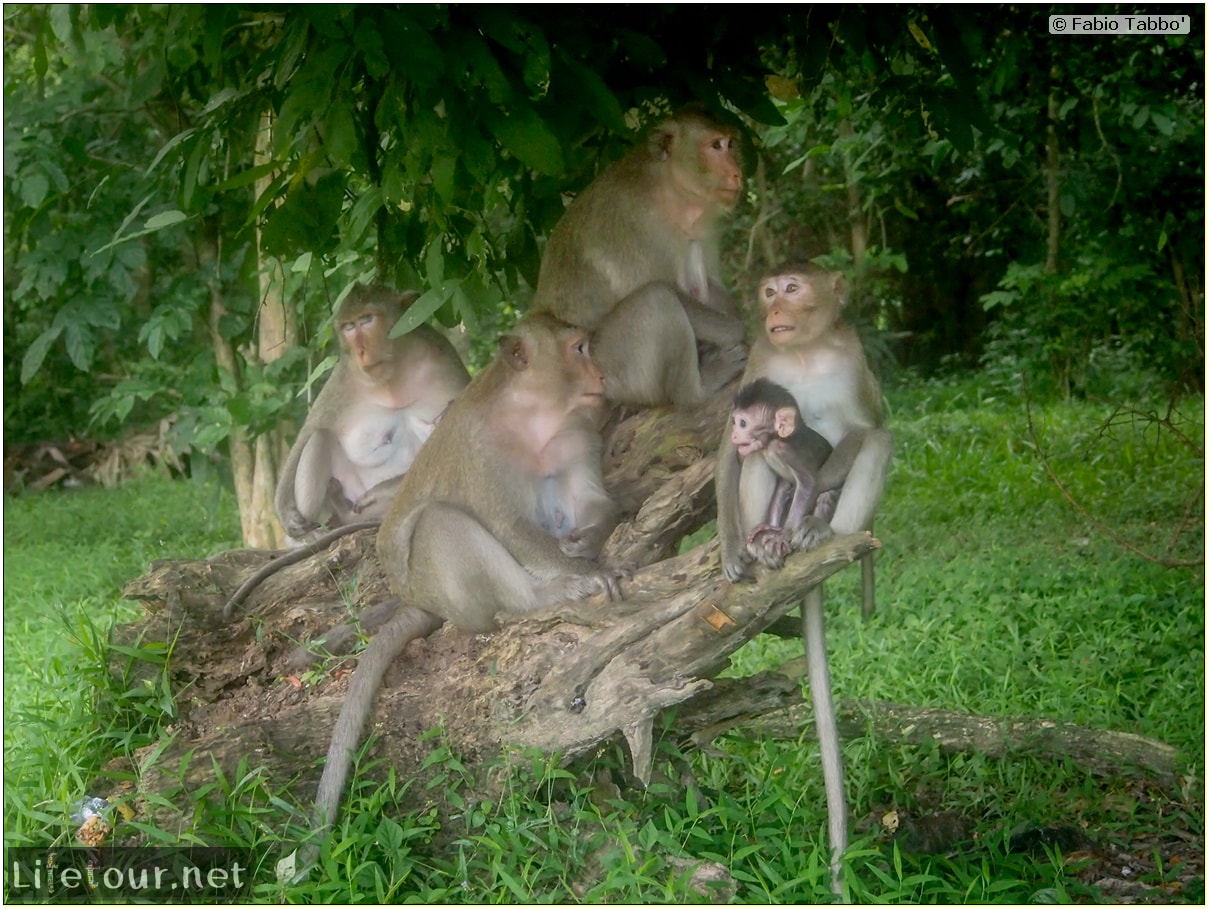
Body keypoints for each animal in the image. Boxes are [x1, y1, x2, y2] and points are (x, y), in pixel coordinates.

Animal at [276, 284, 469, 539]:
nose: (360, 351)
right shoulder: (345, 377)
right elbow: (309, 431)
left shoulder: (443, 357)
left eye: (366, 320)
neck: (394, 373)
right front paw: (286, 514)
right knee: (320, 437)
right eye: (349, 327)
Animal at [304, 316, 623, 855]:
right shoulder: (481, 448)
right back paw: (535, 599)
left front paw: (593, 537)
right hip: (443, 589)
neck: (535, 420)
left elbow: (591, 500)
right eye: (579, 349)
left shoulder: (578, 431)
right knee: (441, 524)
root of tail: (415, 598)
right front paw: (585, 573)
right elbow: (509, 526)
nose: (601, 372)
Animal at [536, 104, 749, 406]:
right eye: (715, 146)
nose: (737, 173)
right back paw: (698, 390)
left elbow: (709, 277)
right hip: (610, 369)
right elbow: (668, 289)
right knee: (657, 298)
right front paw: (738, 330)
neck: (670, 189)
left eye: (730, 144)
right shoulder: (635, 221)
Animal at [725, 377, 841, 568]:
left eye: (742, 423)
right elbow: (784, 486)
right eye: (735, 422)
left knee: (827, 494)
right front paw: (772, 528)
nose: (733, 435)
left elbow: (809, 483)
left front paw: (784, 533)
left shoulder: (785, 451)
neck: (773, 441)